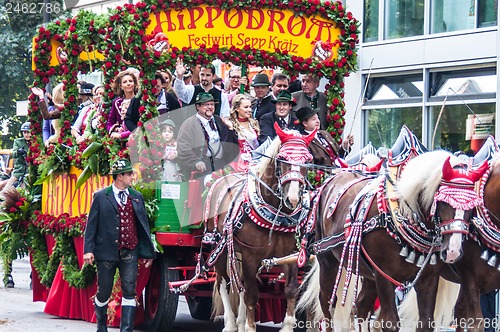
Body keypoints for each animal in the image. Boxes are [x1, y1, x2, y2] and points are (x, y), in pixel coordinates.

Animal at [203, 123, 316, 330]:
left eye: (308, 160)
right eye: (282, 159)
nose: (293, 199)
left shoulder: (291, 255)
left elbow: (291, 290)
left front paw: (287, 326)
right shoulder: (250, 257)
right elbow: (251, 295)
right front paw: (249, 327)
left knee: (238, 284)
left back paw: (239, 322)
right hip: (219, 248)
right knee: (223, 282)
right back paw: (230, 323)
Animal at [298, 151, 486, 332]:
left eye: (472, 208)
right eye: (444, 202)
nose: (453, 252)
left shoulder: (428, 278)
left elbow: (425, 323)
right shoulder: (384, 276)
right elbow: (390, 323)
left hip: (367, 271)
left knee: (361, 305)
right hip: (327, 260)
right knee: (328, 303)